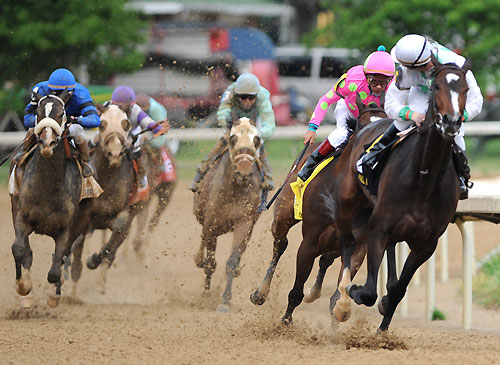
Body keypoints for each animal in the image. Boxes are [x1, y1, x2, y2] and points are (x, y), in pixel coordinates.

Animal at [9, 89, 81, 306]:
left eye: (61, 113)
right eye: (38, 112)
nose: (47, 143)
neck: (48, 183)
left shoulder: (66, 228)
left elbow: (57, 266)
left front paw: (53, 294)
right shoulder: (22, 217)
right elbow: (19, 250)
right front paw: (23, 287)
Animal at [194, 118, 266, 312]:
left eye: (256, 140)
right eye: (232, 139)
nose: (244, 170)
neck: (233, 190)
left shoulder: (244, 223)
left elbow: (232, 262)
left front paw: (225, 300)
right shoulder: (211, 225)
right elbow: (210, 264)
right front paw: (205, 295)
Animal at [250, 96, 386, 318]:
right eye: (364, 127)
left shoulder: (359, 246)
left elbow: (340, 291)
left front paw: (340, 309)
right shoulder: (309, 243)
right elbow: (296, 291)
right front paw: (284, 322)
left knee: (325, 259)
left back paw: (314, 292)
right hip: (284, 213)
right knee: (281, 243)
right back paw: (260, 292)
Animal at [334, 55, 470, 332]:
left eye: (466, 89)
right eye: (436, 87)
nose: (451, 121)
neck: (423, 177)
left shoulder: (426, 242)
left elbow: (398, 290)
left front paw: (383, 329)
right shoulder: (379, 228)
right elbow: (368, 292)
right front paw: (353, 291)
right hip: (347, 203)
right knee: (347, 244)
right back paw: (342, 298)